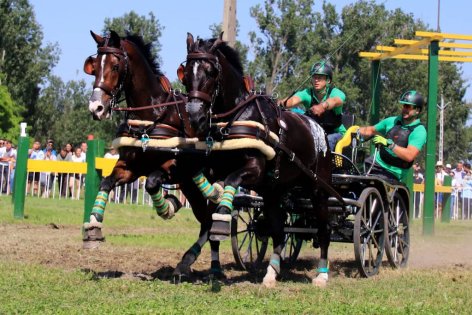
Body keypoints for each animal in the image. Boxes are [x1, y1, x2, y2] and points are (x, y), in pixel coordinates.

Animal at [83, 30, 225, 282]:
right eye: (95, 66)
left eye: (115, 65)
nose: (96, 108)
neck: (152, 114)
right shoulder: (130, 167)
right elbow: (106, 182)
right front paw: (93, 227)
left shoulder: (174, 166)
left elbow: (151, 183)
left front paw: (169, 206)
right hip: (190, 187)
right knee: (208, 221)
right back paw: (193, 263)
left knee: (215, 217)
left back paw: (207, 266)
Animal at [179, 34, 338, 288]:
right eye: (185, 74)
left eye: (211, 72)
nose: (195, 117)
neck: (237, 118)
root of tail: (318, 129)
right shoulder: (215, 170)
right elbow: (211, 192)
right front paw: (212, 266)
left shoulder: (254, 169)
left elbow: (232, 180)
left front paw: (222, 219)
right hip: (273, 192)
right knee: (279, 232)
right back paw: (271, 272)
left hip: (318, 188)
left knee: (324, 229)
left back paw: (322, 274)